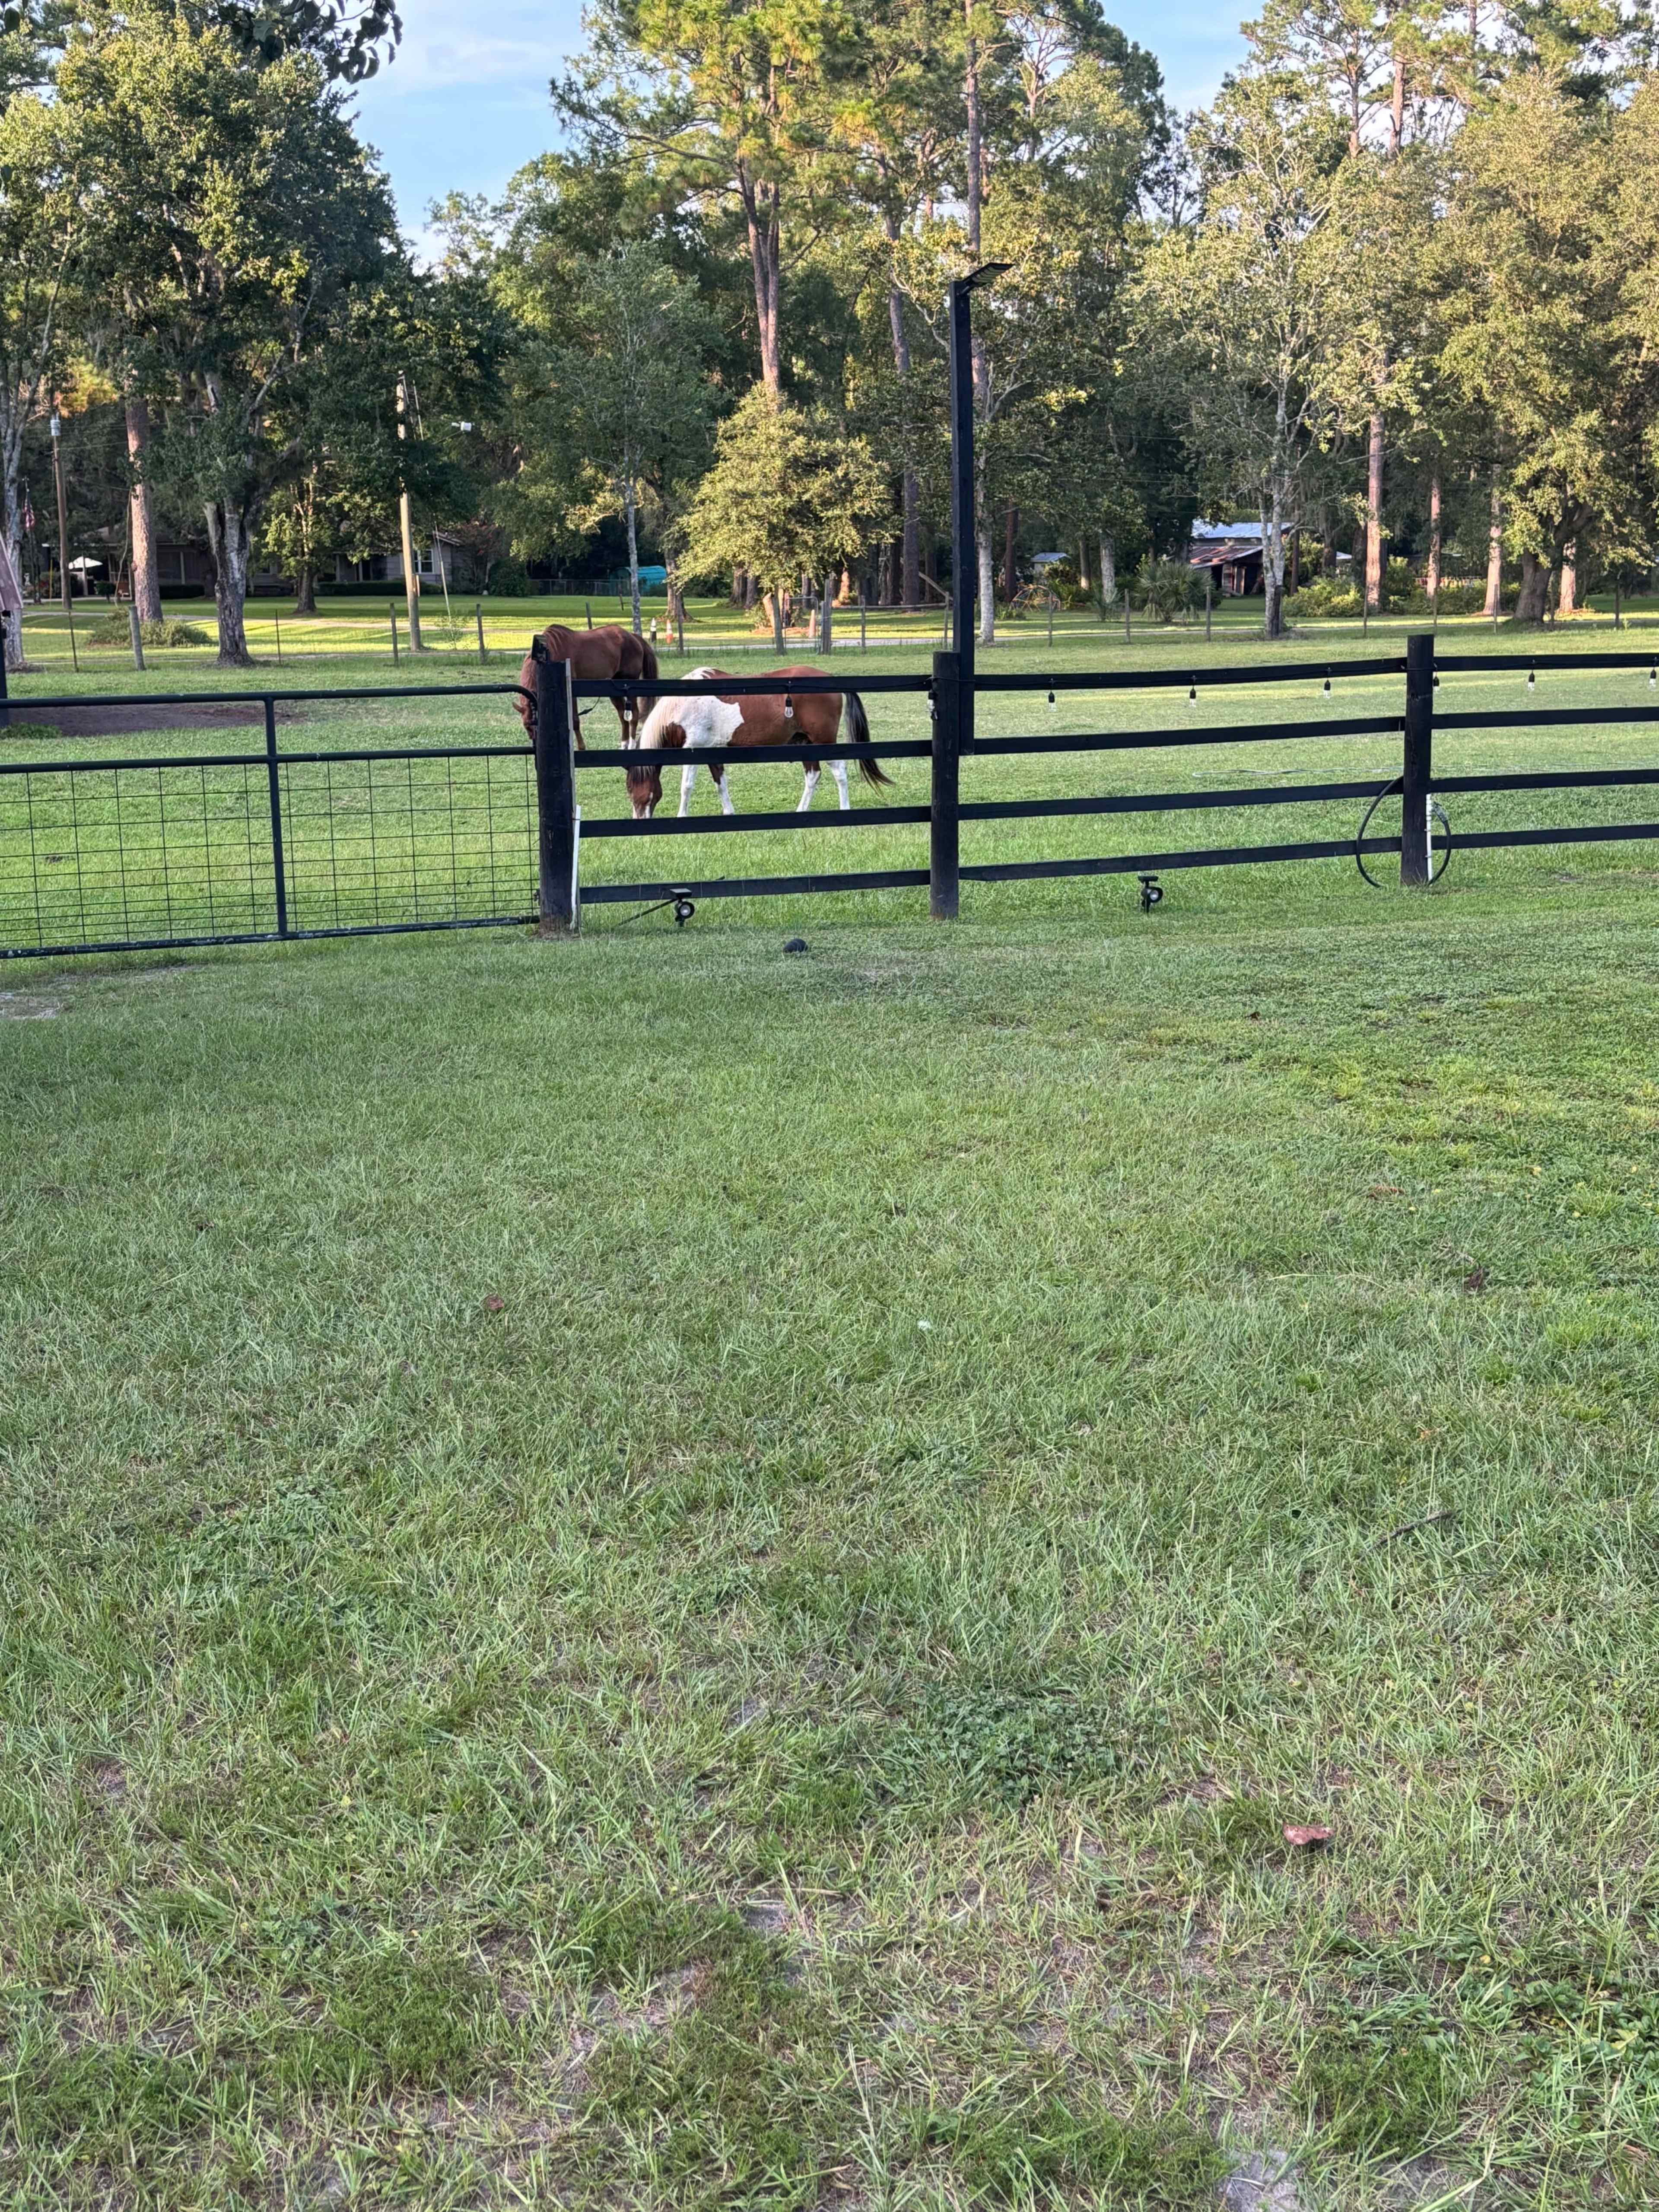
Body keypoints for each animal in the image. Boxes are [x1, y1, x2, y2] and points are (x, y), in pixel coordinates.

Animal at [514, 623, 657, 744]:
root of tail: (633, 637)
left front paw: (582, 747)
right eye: (527, 727)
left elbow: (575, 721)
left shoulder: (572, 694)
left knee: (634, 716)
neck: (551, 651)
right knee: (623, 717)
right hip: (614, 689)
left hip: (629, 686)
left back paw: (632, 745)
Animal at [624, 666, 888, 820]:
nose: (639, 822)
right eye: (629, 792)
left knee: (840, 772)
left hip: (823, 741)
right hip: (805, 742)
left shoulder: (694, 749)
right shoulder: (712, 752)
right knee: (813, 776)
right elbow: (721, 784)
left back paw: (845, 809)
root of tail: (831, 680)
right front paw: (729, 812)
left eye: (645, 793)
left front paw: (682, 816)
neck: (684, 705)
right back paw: (801, 811)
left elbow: (686, 787)